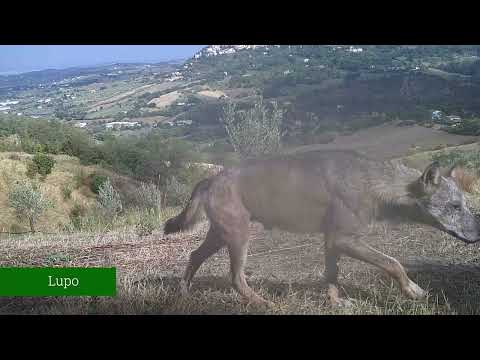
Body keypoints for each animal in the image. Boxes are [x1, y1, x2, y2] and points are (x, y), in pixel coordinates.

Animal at [163, 150, 478, 306]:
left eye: (465, 203)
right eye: (455, 206)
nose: (477, 232)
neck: (374, 185)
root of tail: (209, 179)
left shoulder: (332, 242)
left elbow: (331, 276)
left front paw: (336, 304)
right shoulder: (344, 239)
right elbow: (394, 263)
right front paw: (413, 290)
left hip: (220, 237)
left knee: (193, 257)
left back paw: (183, 296)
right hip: (239, 238)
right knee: (235, 278)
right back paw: (264, 305)